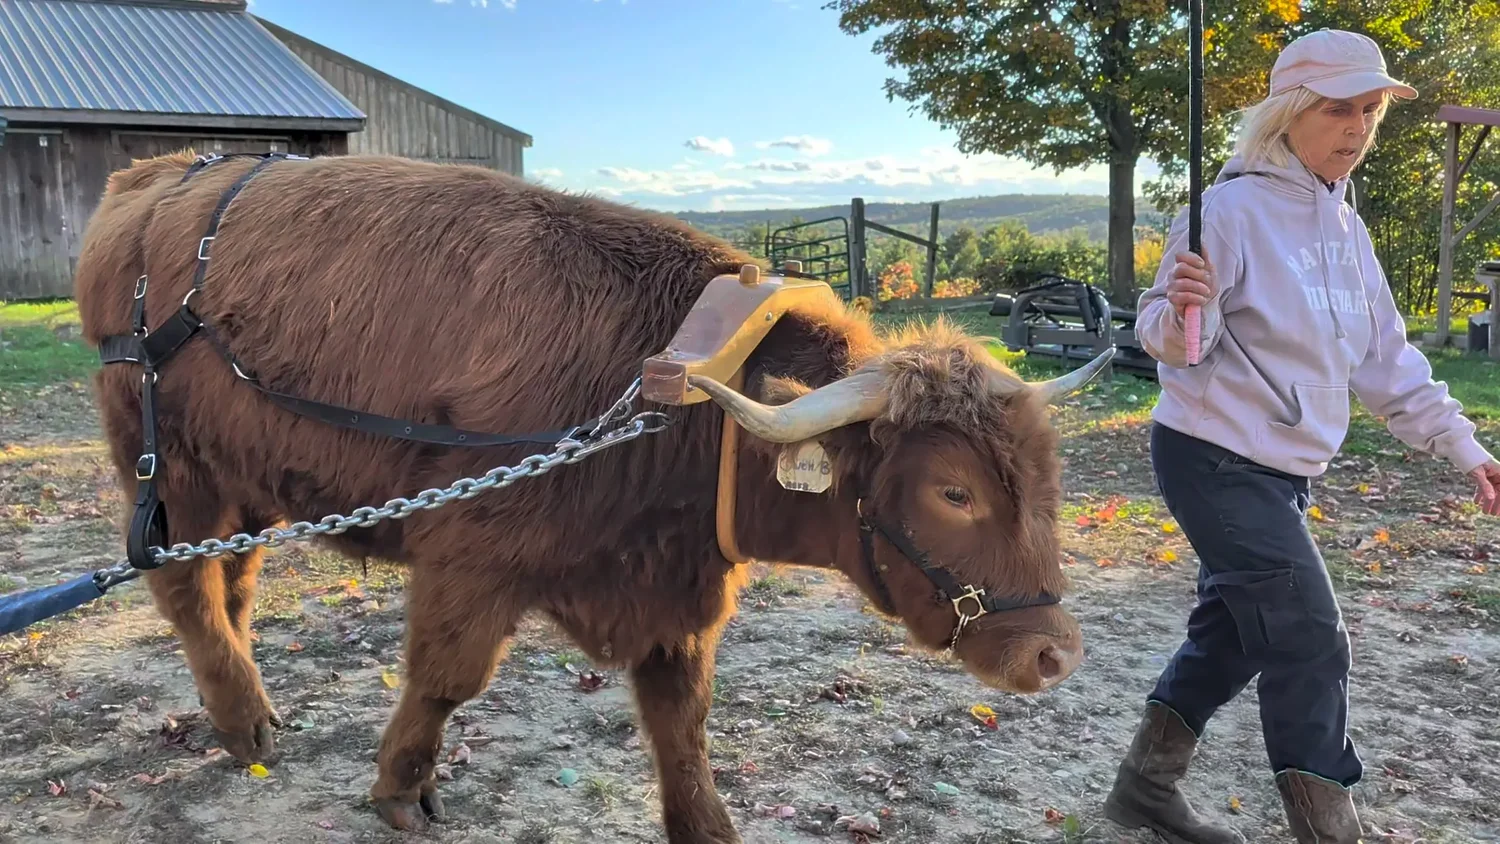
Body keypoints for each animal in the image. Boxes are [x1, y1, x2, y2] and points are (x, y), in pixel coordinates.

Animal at [73, 150, 1110, 843]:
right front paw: (400, 788)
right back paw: (245, 720)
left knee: (232, 585)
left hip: (245, 482)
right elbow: (445, 680)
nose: (1055, 653)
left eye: (1048, 478)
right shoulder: (472, 560)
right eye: (953, 491)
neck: (675, 392)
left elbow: (683, 722)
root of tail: (158, 178)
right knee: (185, 588)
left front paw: (708, 825)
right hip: (170, 468)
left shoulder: (678, 597)